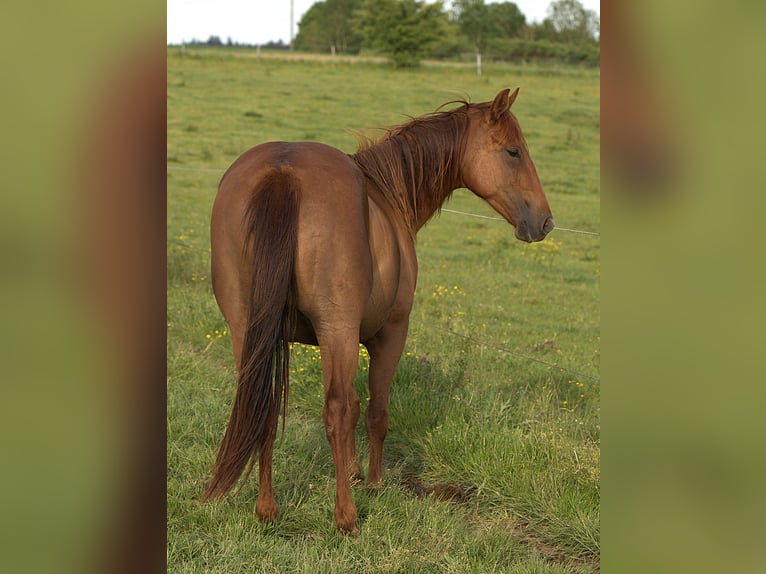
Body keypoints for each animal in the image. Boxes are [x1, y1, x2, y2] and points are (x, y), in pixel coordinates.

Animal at [201, 88, 554, 535]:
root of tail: (283, 172)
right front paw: (372, 483)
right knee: (333, 411)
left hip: (247, 330)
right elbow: (372, 413)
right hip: (335, 329)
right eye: (513, 152)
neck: (386, 196)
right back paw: (346, 517)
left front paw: (353, 472)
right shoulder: (387, 335)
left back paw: (267, 510)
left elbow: (353, 406)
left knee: (262, 403)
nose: (545, 222)